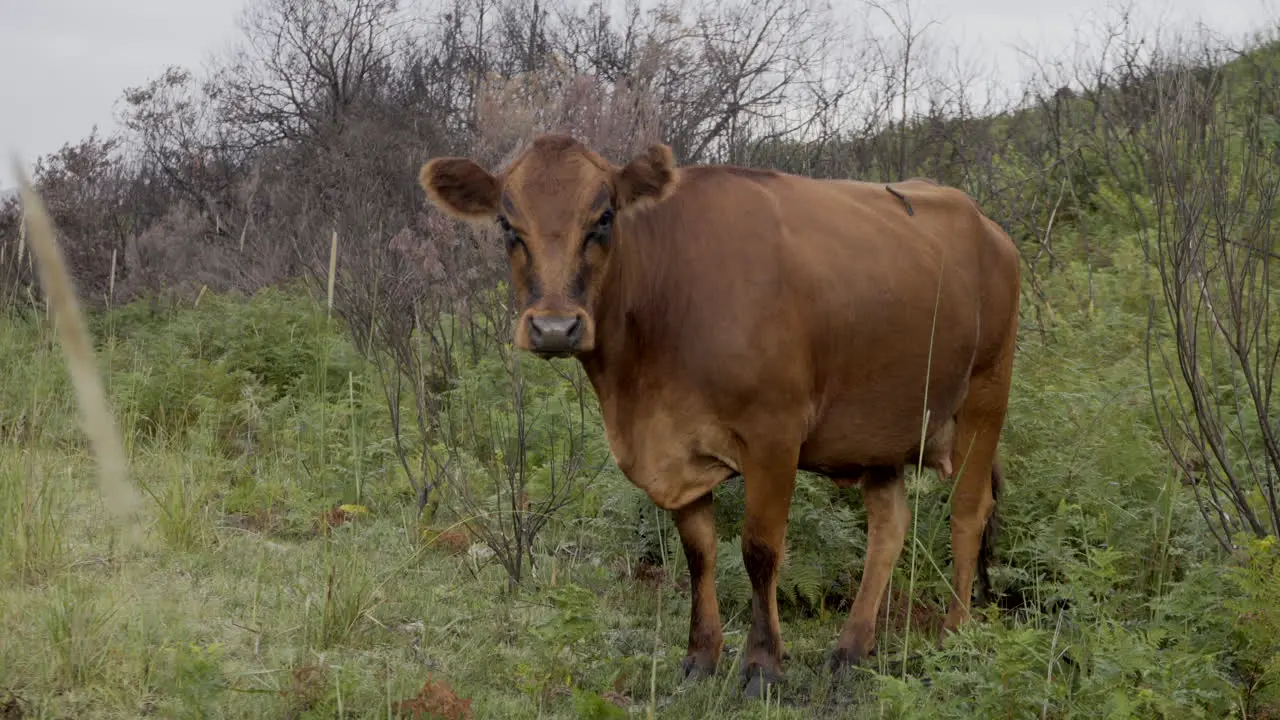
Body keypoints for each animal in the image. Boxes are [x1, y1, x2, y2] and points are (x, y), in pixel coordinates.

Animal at [419, 133, 1018, 696]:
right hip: (879, 427)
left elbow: (760, 551)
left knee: (968, 512)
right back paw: (851, 649)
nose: (553, 327)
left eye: (604, 217)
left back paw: (953, 635)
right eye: (506, 224)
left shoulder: (774, 437)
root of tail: (988, 224)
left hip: (985, 394)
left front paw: (762, 666)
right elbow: (699, 553)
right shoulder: (673, 451)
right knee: (889, 526)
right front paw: (700, 658)